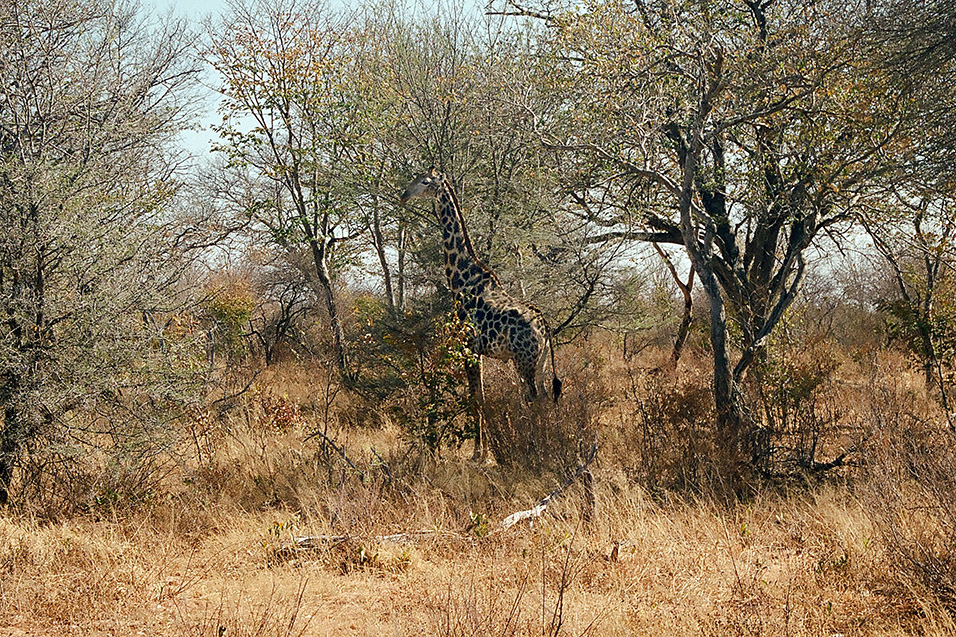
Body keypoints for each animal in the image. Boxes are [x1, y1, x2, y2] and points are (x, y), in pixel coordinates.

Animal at [402, 166, 564, 460]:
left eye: (425, 181)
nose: (404, 195)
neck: (461, 279)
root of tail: (544, 326)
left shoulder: (467, 346)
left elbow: (475, 398)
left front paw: (479, 453)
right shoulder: (476, 351)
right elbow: (481, 396)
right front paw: (485, 450)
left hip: (524, 360)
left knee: (533, 397)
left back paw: (535, 446)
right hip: (541, 361)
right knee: (544, 396)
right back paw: (548, 443)